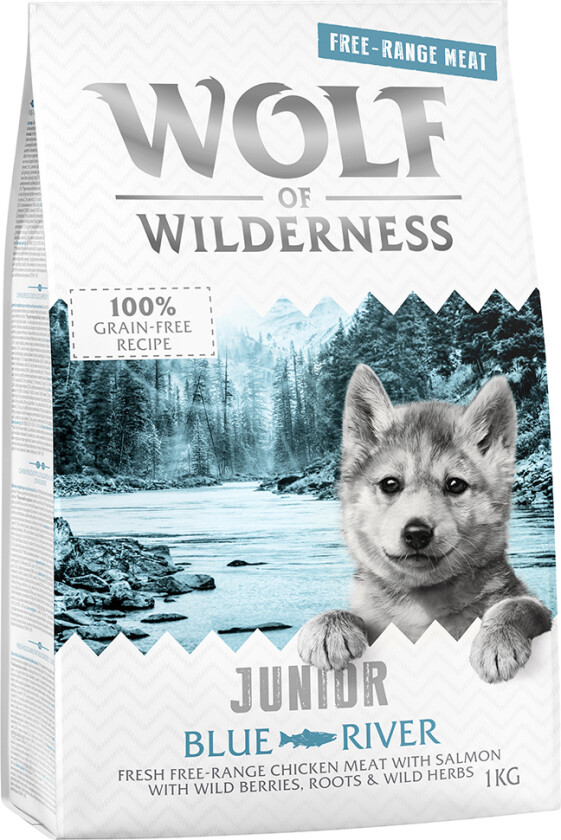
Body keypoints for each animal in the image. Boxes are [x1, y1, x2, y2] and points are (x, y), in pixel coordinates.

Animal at [298, 365, 551, 683]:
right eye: (390, 484)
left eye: (455, 484)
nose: (417, 533)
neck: (423, 607)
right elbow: (351, 614)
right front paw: (328, 627)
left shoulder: (534, 606)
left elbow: (519, 606)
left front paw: (498, 640)